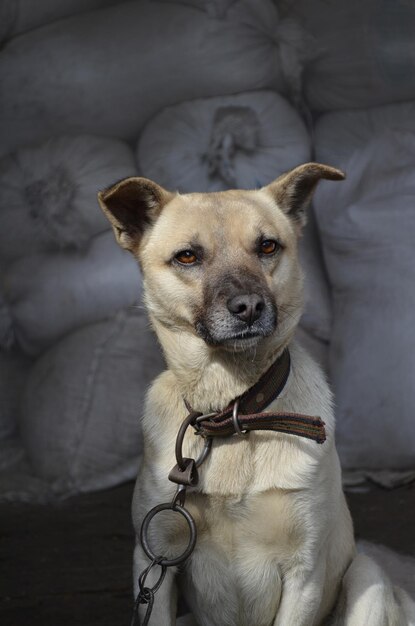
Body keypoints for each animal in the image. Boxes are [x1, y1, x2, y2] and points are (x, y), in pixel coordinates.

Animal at [98, 166, 415, 624]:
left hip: (365, 576)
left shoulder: (305, 572)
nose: (248, 307)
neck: (230, 413)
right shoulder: (155, 562)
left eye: (267, 246)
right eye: (187, 257)